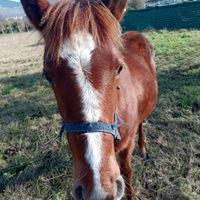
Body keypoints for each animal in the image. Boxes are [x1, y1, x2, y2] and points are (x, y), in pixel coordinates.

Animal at [20, 0, 158, 199]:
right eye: (48, 76)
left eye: (119, 68)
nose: (98, 190)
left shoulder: (126, 149)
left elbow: (127, 173)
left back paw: (142, 149)